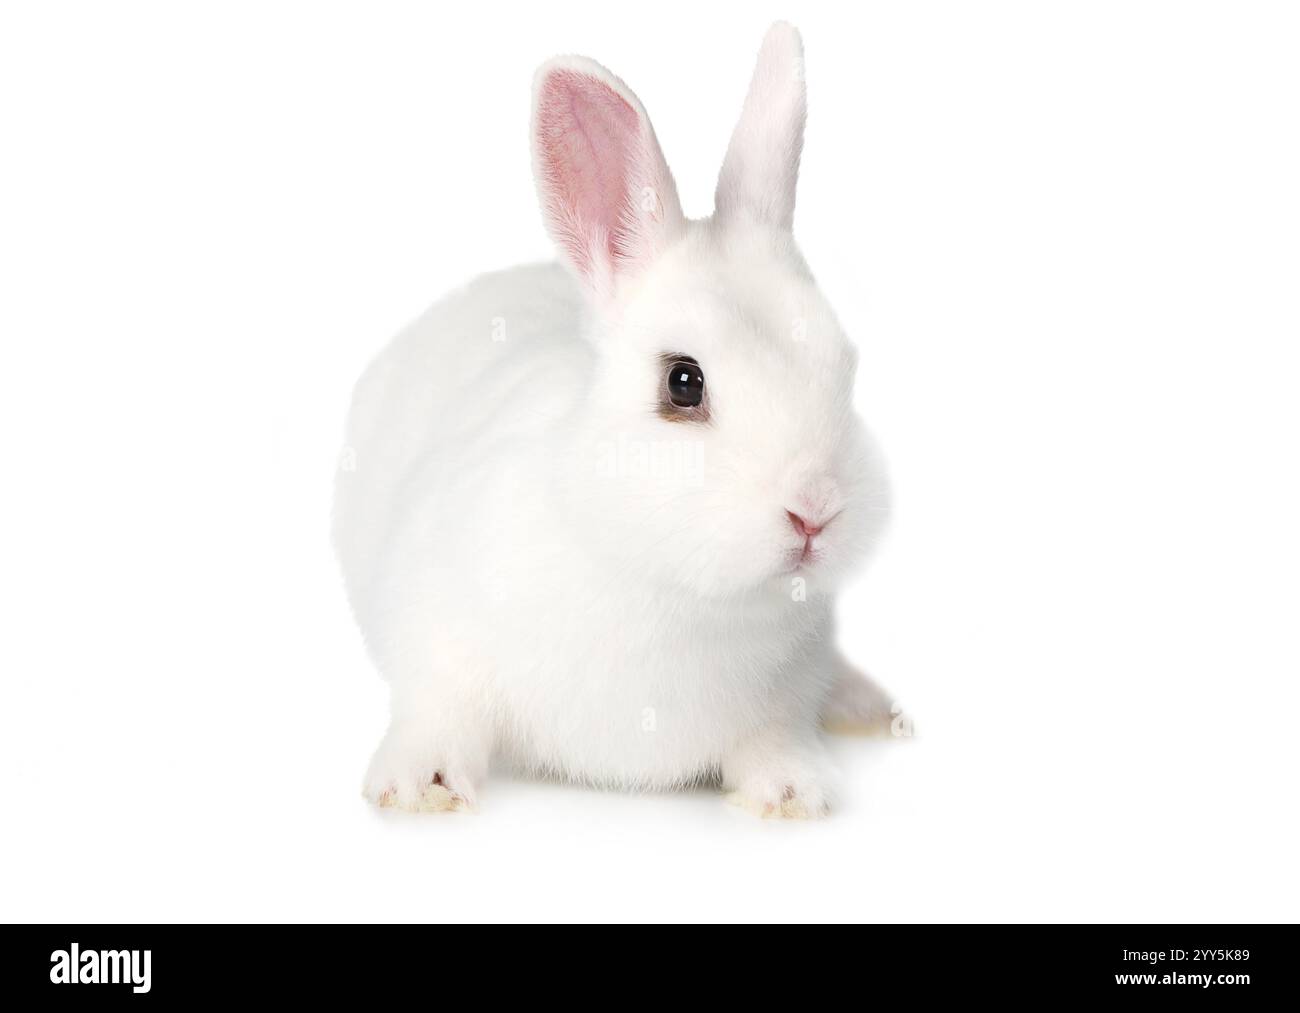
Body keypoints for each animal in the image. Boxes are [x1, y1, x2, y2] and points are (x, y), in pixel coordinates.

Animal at [333, 21, 895, 818]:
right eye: (683, 382)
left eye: (843, 361)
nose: (815, 510)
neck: (671, 590)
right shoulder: (435, 632)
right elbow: (437, 708)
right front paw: (420, 785)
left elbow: (773, 737)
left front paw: (794, 790)